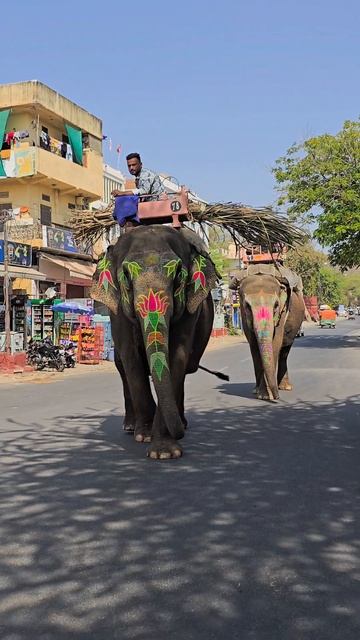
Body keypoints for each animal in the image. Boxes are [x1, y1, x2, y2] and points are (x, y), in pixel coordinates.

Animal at [91, 225, 218, 460]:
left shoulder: (188, 310)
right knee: (122, 368)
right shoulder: (117, 312)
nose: (179, 434)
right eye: (126, 275)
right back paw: (131, 426)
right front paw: (145, 435)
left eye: (178, 274)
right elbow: (131, 358)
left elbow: (177, 355)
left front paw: (164, 452)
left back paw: (182, 423)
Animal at [232, 268, 306, 402]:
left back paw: (285, 387)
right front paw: (262, 394)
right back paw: (257, 390)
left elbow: (275, 342)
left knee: (285, 351)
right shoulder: (244, 316)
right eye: (247, 306)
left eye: (276, 305)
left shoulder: (282, 313)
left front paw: (267, 395)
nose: (277, 397)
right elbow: (254, 345)